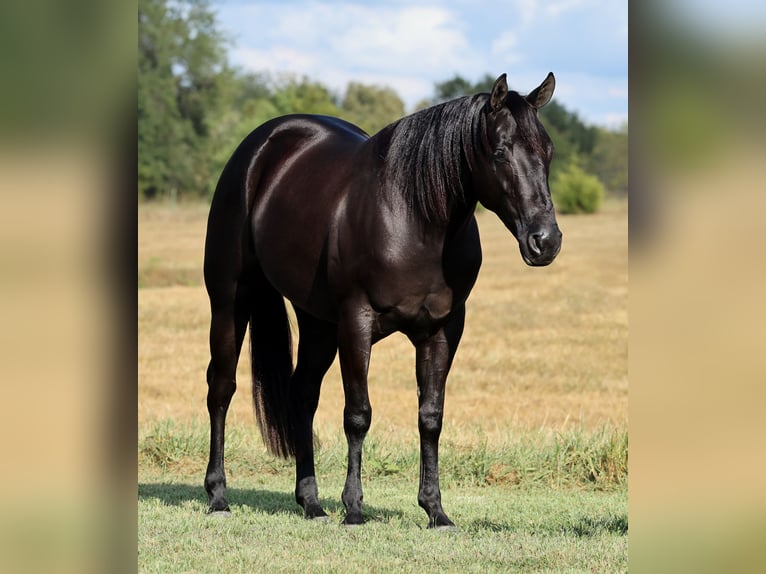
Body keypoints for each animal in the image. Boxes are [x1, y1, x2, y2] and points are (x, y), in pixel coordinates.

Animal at [202, 72, 561, 529]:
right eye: (500, 151)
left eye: (547, 150)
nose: (545, 241)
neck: (415, 219)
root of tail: (258, 147)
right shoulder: (356, 323)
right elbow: (358, 414)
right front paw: (354, 507)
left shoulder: (442, 330)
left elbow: (430, 416)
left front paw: (435, 509)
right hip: (231, 301)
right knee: (221, 388)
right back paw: (218, 495)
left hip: (317, 322)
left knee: (302, 394)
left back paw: (311, 502)